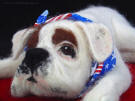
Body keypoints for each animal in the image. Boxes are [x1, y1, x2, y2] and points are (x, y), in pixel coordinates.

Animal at [0, 5, 135, 101]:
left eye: (66, 49)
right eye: (28, 49)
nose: (34, 55)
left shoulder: (118, 69)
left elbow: (109, 82)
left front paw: (95, 96)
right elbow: (9, 63)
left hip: (126, 35)